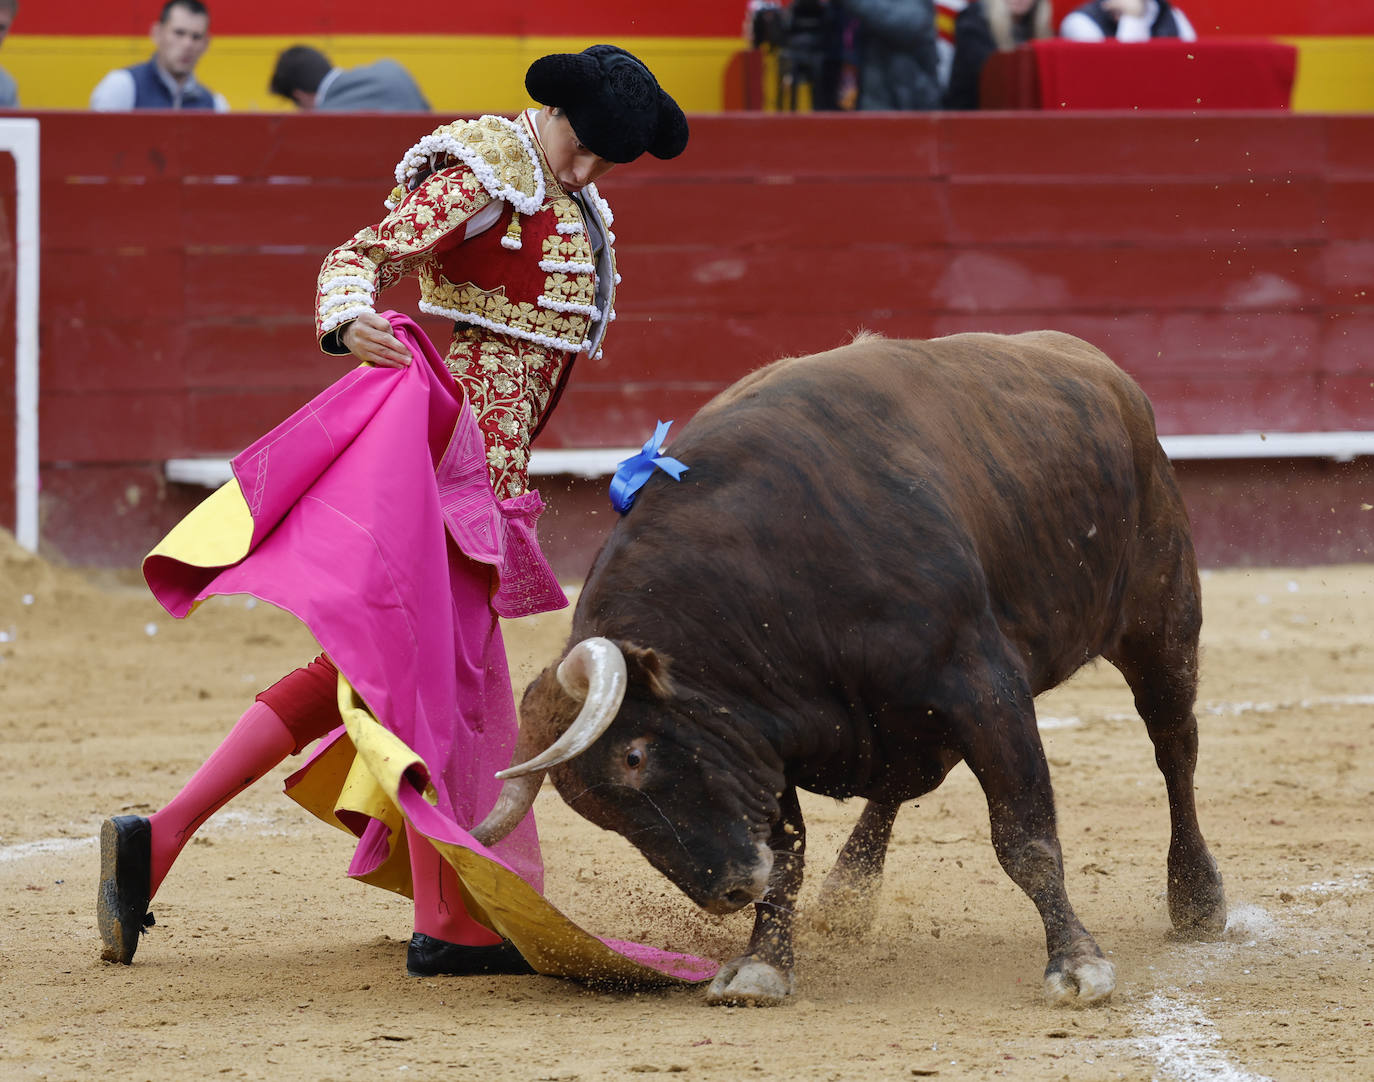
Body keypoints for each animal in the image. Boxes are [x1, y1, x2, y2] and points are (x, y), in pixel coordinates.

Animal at [469, 329, 1225, 1006]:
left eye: (634, 756)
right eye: (598, 814)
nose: (728, 891)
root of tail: (1105, 371)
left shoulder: (986, 689)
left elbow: (1025, 837)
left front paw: (1076, 965)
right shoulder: (764, 743)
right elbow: (788, 857)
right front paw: (763, 966)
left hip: (1160, 623)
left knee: (1174, 746)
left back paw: (1198, 900)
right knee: (897, 784)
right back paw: (847, 898)